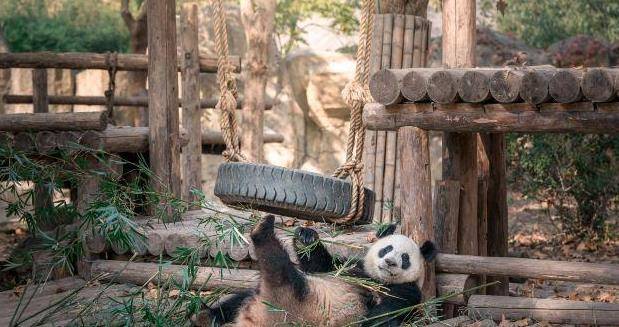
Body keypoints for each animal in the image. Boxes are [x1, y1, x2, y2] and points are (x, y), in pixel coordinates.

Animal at [196, 215, 438, 327]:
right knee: (236, 300)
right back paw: (206, 316)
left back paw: (262, 233)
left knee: (282, 272)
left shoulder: (407, 291)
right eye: (386, 249)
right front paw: (306, 237)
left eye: (405, 258)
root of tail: (255, 317)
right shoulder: (349, 267)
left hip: (298, 303)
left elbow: (387, 312)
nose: (389, 262)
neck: (375, 278)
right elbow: (320, 265)